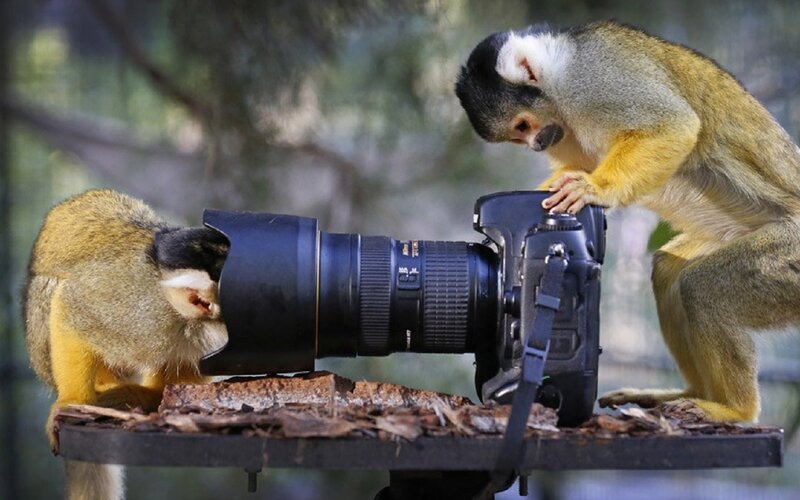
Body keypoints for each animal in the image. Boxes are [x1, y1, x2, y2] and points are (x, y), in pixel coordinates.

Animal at [24, 189, 229, 500]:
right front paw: (73, 402)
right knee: (51, 286)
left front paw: (156, 397)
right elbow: (73, 306)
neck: (183, 315)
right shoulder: (141, 312)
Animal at [455, 21, 800, 423]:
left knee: (703, 286)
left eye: (524, 125)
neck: (558, 72)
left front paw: (594, 189)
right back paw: (687, 395)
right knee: (668, 272)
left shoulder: (592, 76)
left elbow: (673, 126)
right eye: (517, 134)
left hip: (790, 254)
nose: (537, 144)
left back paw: (735, 410)